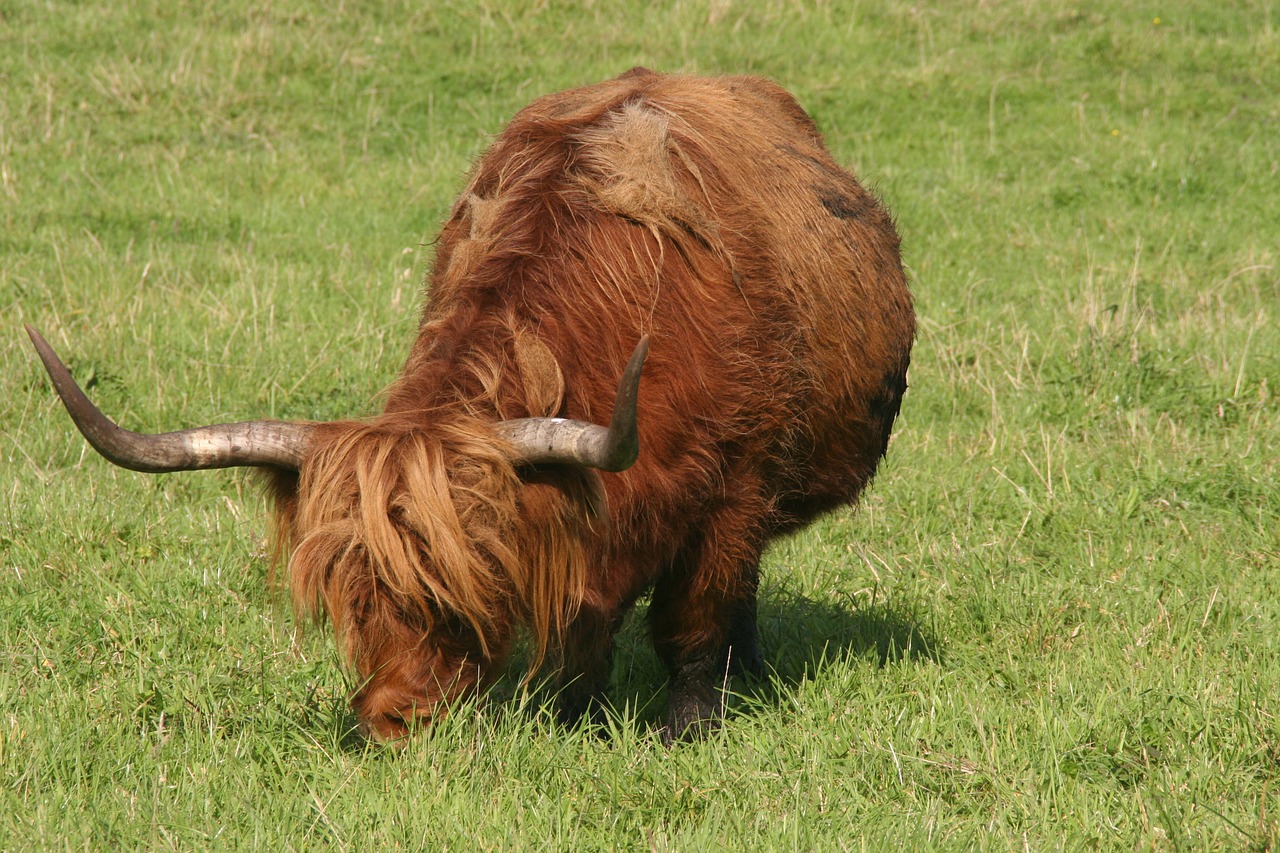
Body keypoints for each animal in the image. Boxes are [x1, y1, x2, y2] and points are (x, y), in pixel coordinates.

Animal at [27, 69, 911, 742]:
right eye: (347, 592)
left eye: (472, 581)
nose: (399, 720)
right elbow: (582, 619)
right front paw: (572, 715)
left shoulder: (734, 491)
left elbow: (696, 616)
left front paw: (689, 727)